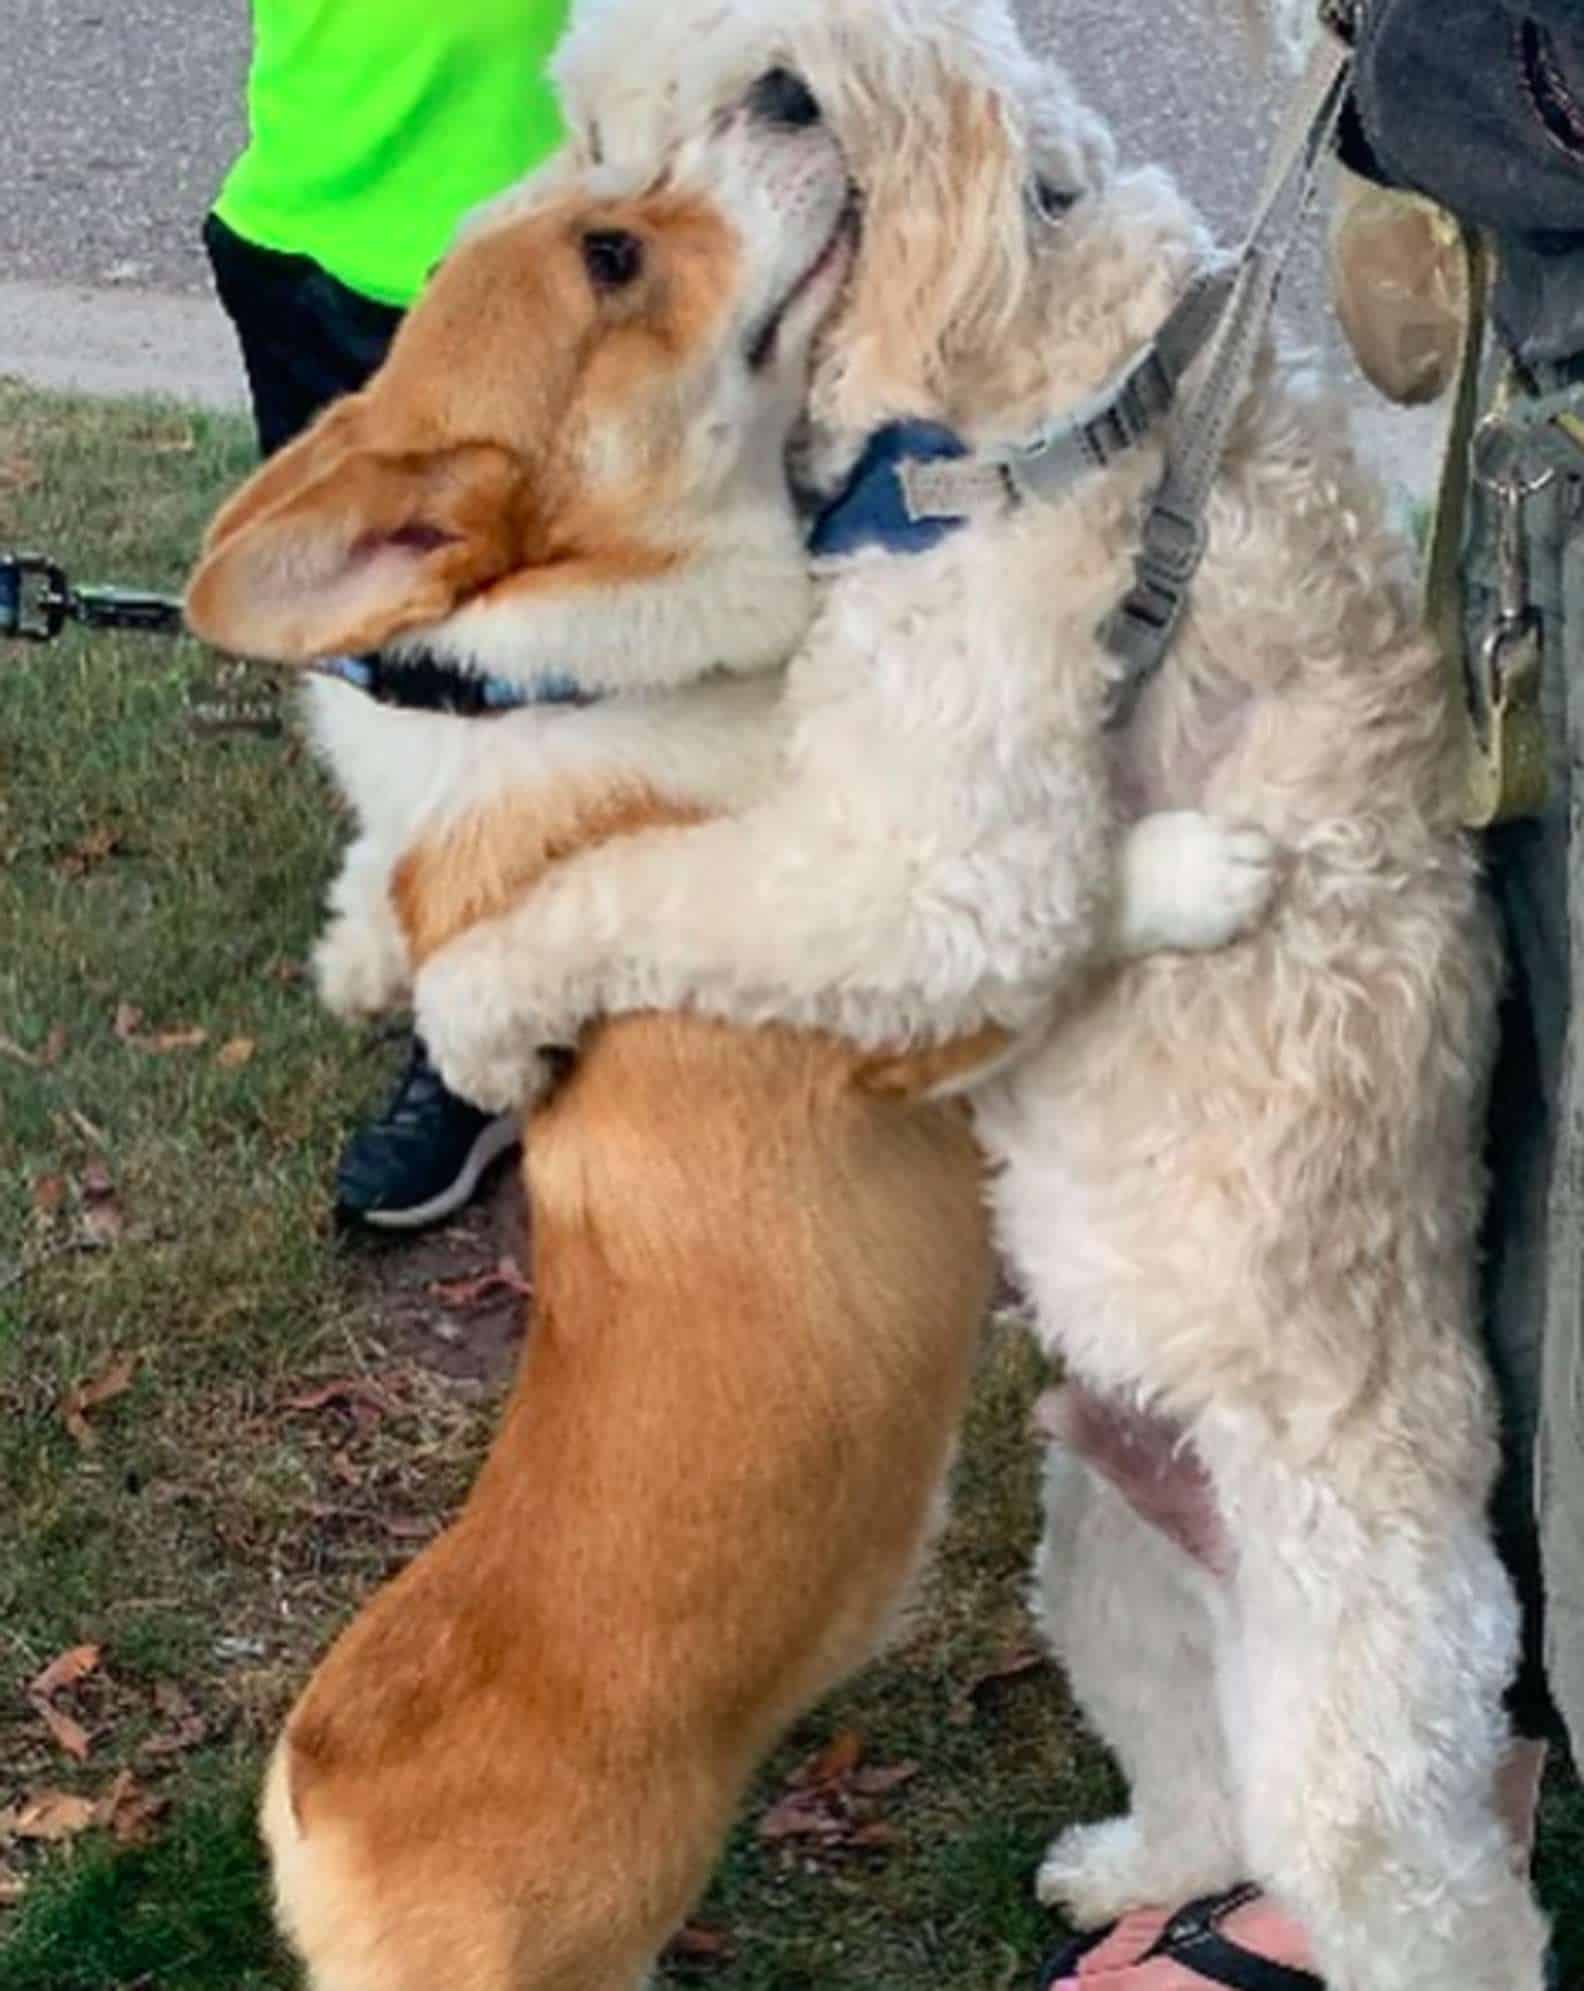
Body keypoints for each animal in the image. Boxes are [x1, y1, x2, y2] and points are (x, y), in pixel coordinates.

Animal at [413, 3, 1552, 1991]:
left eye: (763, 90)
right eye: (608, 133)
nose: (561, 235)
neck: (1022, 366)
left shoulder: (931, 865)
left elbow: (633, 885)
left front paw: (472, 1003)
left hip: (1354, 1720)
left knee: (1445, 1909)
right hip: (1110, 1545)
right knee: (1197, 1781)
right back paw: (1127, 1872)